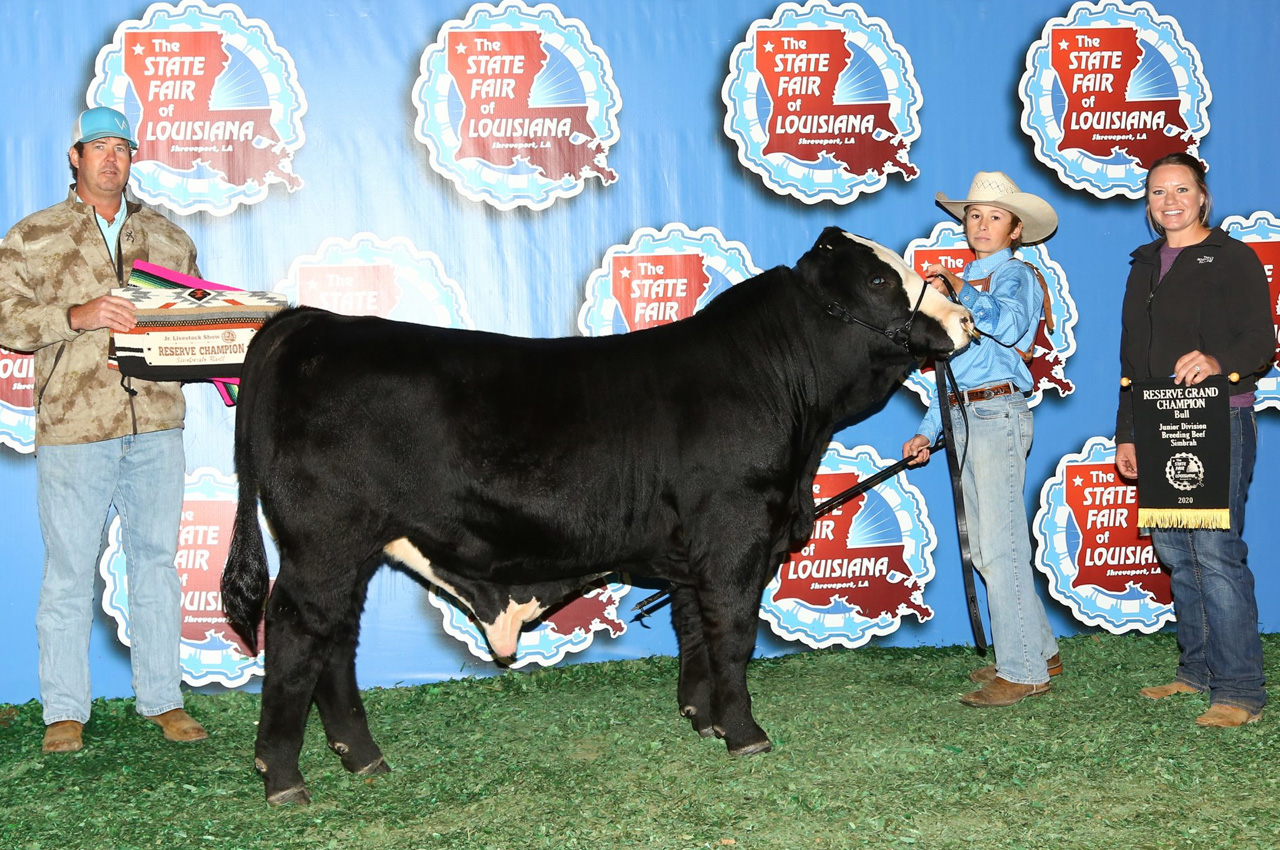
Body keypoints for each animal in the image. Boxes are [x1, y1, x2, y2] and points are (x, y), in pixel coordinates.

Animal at [221, 228, 974, 805]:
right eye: (879, 281)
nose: (964, 318)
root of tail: (316, 321)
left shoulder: (693, 550)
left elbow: (693, 627)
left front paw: (701, 718)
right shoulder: (735, 534)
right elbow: (731, 631)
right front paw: (745, 734)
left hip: (349, 550)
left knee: (335, 639)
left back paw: (361, 756)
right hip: (324, 543)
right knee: (298, 635)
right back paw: (282, 777)